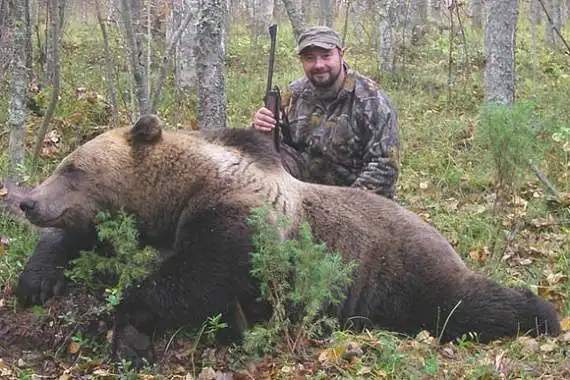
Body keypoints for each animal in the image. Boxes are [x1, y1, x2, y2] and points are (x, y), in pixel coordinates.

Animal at [17, 114, 560, 364]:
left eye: (72, 168)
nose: (28, 202)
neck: (178, 191)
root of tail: (437, 231)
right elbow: (86, 238)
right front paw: (36, 280)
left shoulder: (242, 220)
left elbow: (201, 275)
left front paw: (128, 329)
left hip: (403, 267)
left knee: (462, 302)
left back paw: (543, 314)